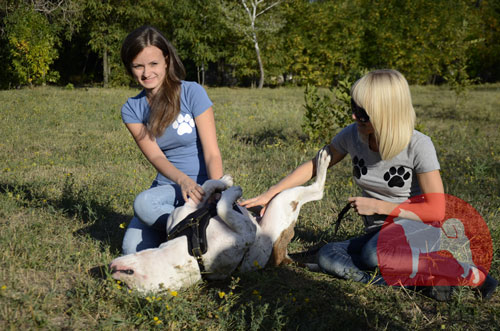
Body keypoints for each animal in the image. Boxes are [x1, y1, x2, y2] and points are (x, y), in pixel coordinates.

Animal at [108, 149, 332, 292]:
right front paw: (231, 192)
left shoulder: (182, 213)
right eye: (129, 282)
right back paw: (323, 160)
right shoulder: (246, 232)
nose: (111, 271)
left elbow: (205, 187)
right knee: (317, 191)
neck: (189, 250)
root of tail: (283, 256)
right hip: (282, 204)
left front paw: (223, 182)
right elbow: (223, 208)